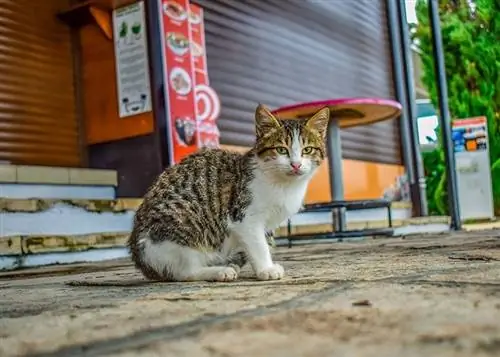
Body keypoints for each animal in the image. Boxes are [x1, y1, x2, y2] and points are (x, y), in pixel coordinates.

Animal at [127, 103, 330, 280]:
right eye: (281, 149)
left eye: (307, 150)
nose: (296, 165)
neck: (284, 185)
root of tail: (142, 260)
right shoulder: (245, 216)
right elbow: (259, 244)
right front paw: (266, 269)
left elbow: (261, 242)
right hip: (181, 228)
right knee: (185, 272)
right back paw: (219, 271)